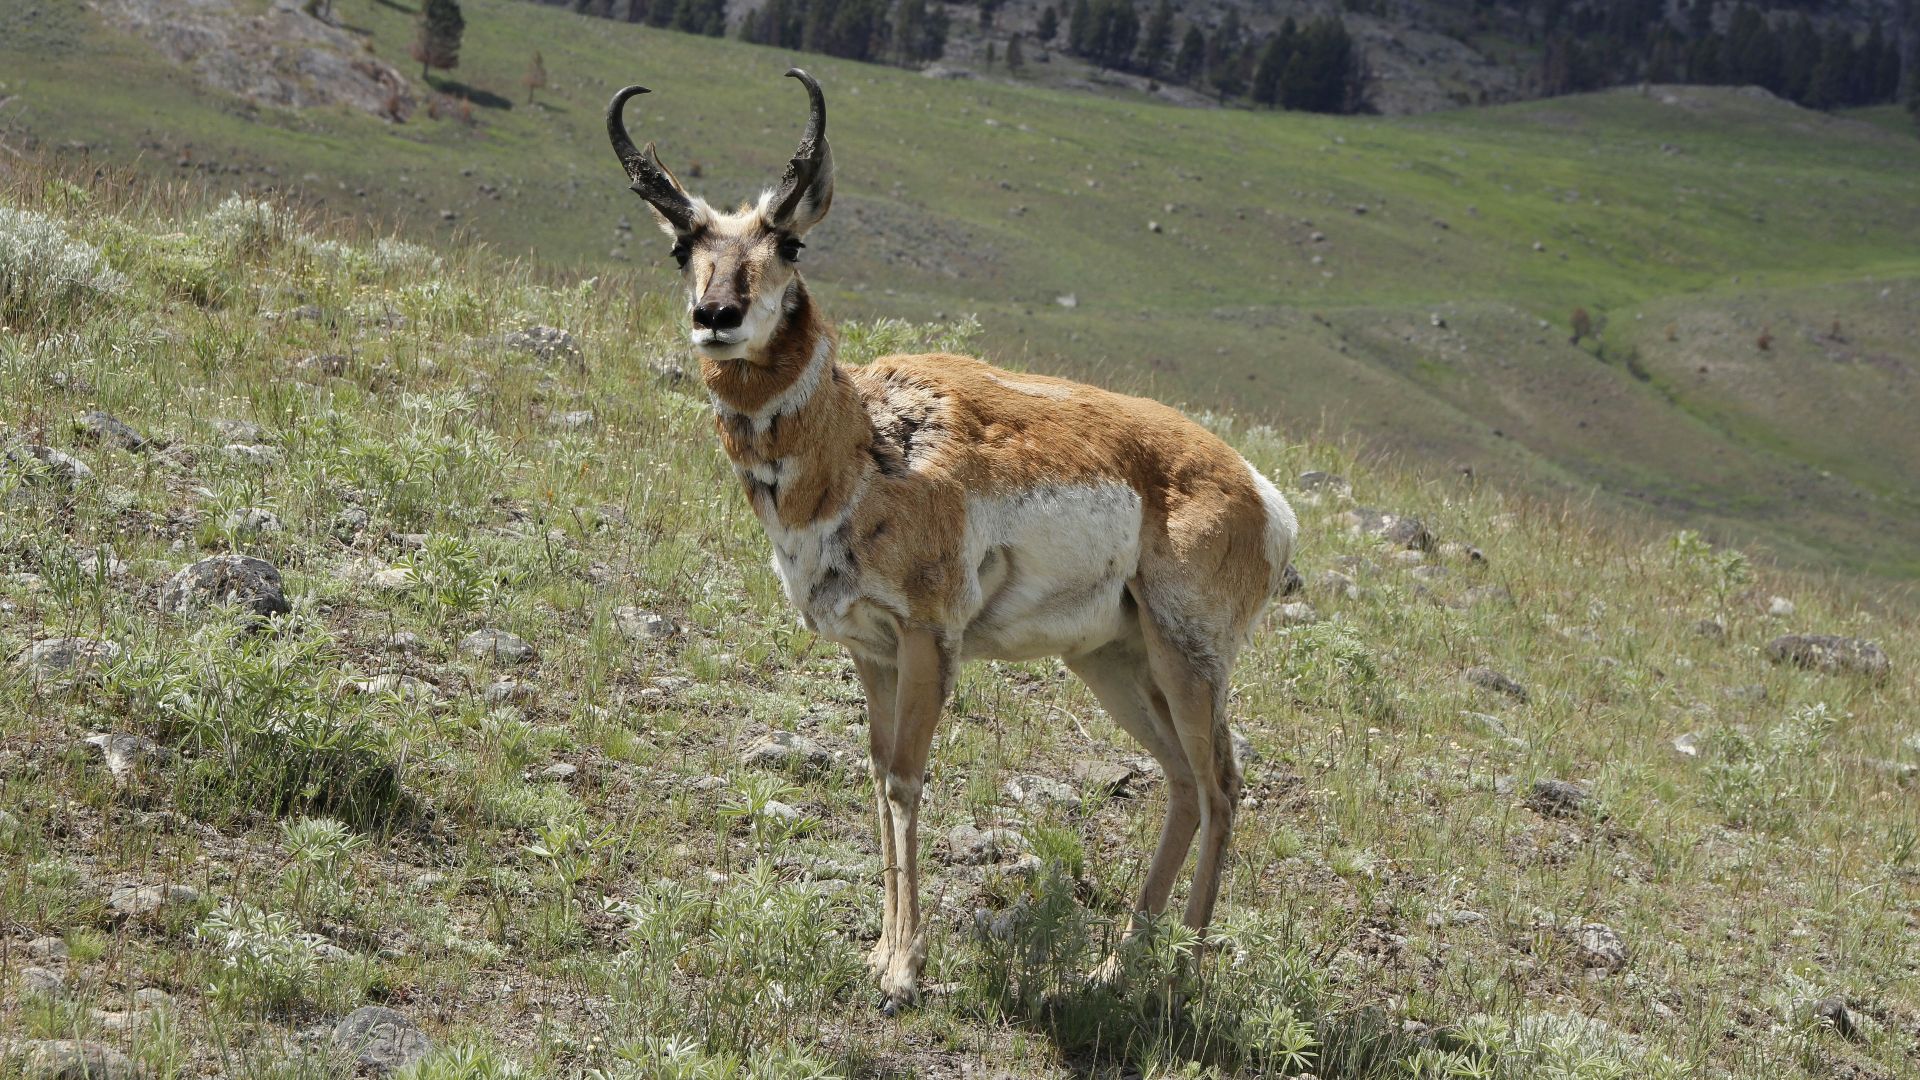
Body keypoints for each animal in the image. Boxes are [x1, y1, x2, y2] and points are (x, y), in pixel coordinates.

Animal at [607, 69, 1298, 1013]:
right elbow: (875, 772)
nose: (718, 315)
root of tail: (1258, 491)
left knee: (1224, 785)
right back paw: (1117, 965)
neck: (865, 441)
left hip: (1186, 656)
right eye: (684, 249)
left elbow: (905, 778)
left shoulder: (929, 637)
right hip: (1113, 659)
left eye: (790, 243)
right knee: (1186, 784)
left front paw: (904, 967)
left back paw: (1182, 972)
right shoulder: (870, 648)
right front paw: (879, 953)